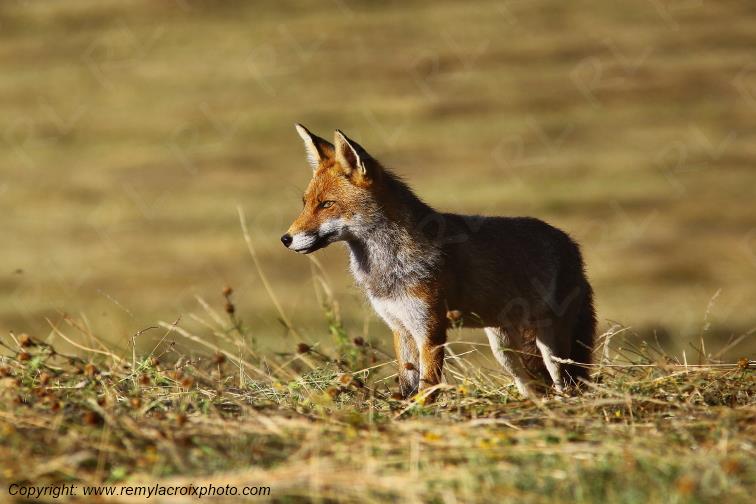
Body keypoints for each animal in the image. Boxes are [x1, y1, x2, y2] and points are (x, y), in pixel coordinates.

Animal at [281, 124, 596, 400]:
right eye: (305, 203)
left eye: (327, 204)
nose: (286, 238)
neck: (388, 268)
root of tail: (570, 244)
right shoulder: (400, 328)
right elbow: (407, 385)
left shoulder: (430, 330)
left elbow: (427, 389)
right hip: (505, 351)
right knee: (535, 387)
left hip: (553, 348)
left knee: (566, 384)